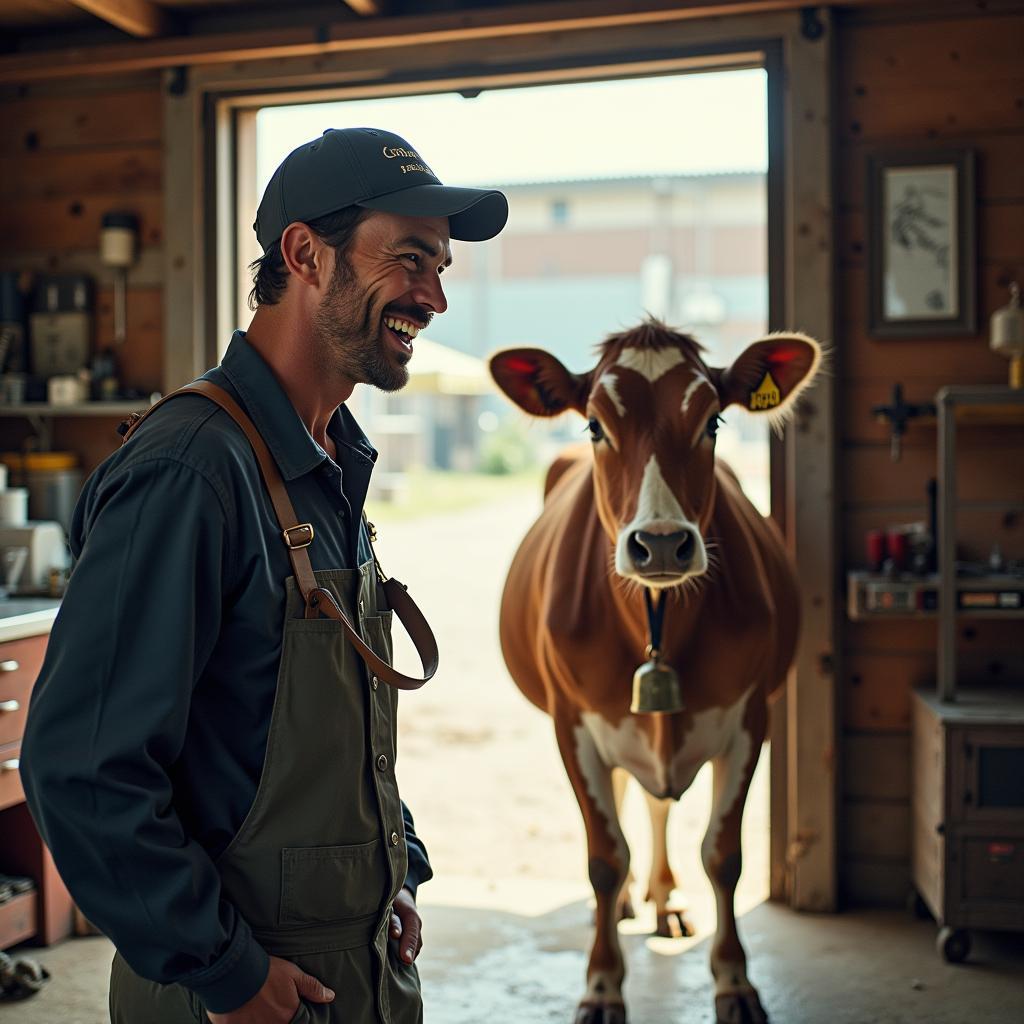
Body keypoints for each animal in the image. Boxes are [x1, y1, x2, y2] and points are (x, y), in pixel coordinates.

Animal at [491, 321, 819, 1024]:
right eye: (595, 425)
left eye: (713, 420)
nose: (662, 542)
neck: (657, 626)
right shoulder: (573, 723)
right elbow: (604, 857)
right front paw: (601, 985)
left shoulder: (751, 716)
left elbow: (724, 856)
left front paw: (734, 981)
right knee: (625, 803)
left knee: (656, 804)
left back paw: (666, 899)